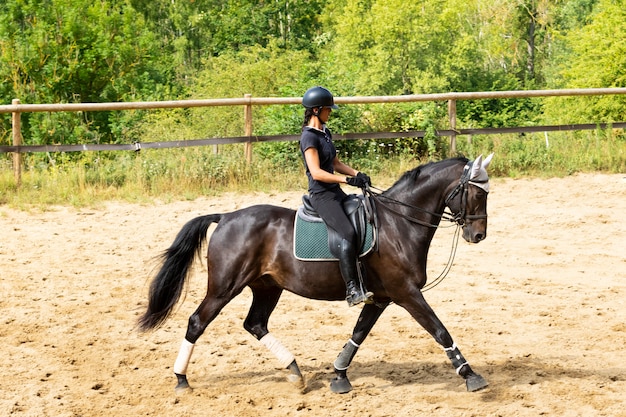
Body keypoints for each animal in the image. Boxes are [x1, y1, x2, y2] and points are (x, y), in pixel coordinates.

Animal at [138, 154, 492, 394]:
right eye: (477, 194)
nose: (478, 236)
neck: (399, 222)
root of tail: (225, 217)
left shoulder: (381, 298)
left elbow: (358, 334)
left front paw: (339, 375)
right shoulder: (406, 293)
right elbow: (440, 330)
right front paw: (470, 375)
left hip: (267, 287)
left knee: (255, 324)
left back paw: (294, 371)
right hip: (225, 287)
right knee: (197, 322)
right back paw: (181, 379)